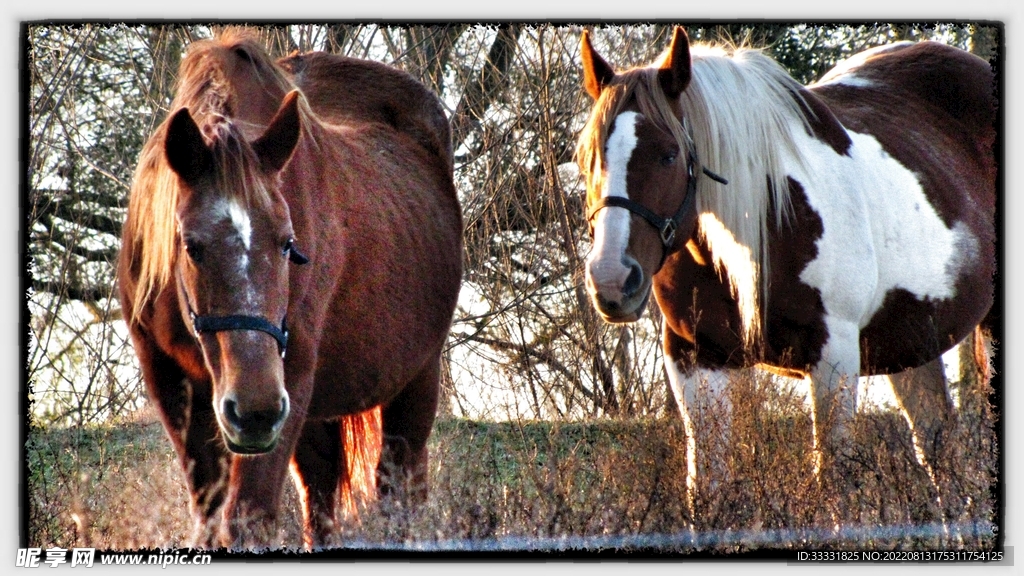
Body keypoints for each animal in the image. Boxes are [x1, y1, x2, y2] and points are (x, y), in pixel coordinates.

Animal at [117, 30, 463, 549]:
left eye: (287, 243)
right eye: (191, 245)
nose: (255, 410)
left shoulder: (291, 377)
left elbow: (249, 516)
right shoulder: (171, 383)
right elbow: (211, 515)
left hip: (415, 379)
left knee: (399, 491)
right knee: (322, 493)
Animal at [576, 27, 996, 504]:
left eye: (668, 154)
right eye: (587, 156)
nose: (612, 280)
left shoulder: (833, 356)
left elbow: (833, 489)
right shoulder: (694, 359)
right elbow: (706, 490)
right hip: (912, 343)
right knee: (937, 449)